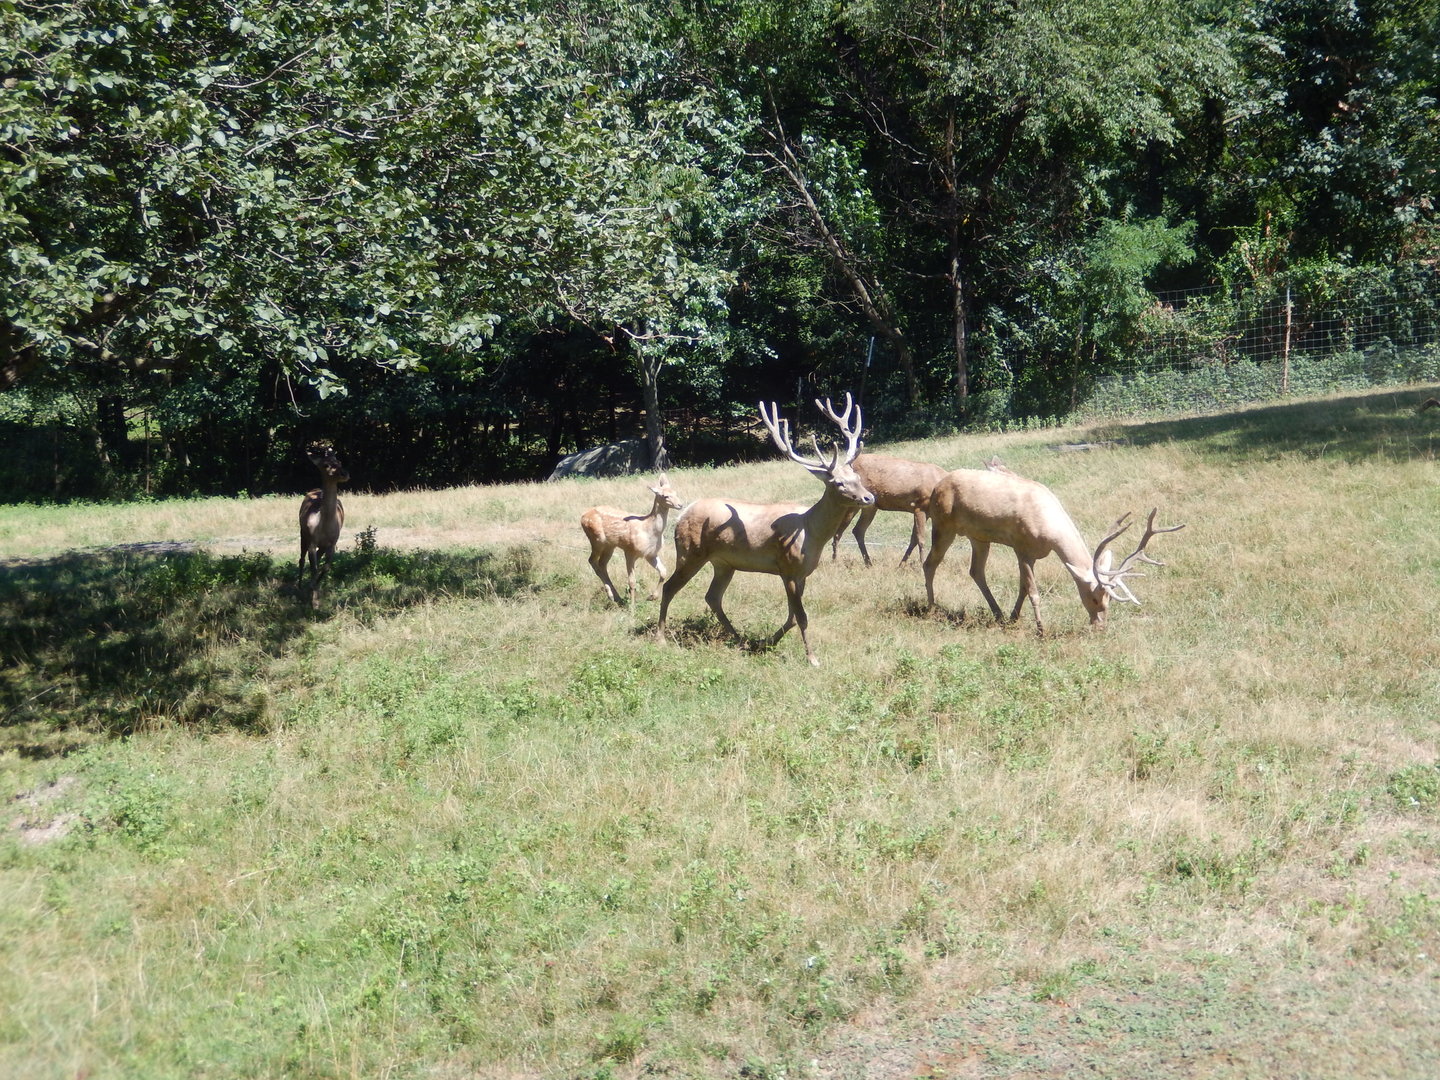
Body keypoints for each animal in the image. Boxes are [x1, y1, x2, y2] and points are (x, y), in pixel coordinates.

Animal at [298, 441, 349, 609]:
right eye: (326, 465)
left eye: (339, 461)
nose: (345, 473)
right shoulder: (312, 540)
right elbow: (314, 568)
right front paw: (313, 601)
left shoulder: (333, 542)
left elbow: (325, 567)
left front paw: (315, 593)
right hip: (303, 533)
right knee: (301, 559)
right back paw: (299, 587)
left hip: (321, 544)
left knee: (317, 559)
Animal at [580, 475, 685, 604]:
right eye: (665, 496)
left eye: (675, 492)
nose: (680, 505)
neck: (649, 530)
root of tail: (583, 516)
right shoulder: (629, 551)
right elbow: (632, 581)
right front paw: (632, 606)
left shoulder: (651, 554)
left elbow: (663, 571)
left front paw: (652, 596)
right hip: (596, 539)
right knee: (592, 560)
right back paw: (613, 596)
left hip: (610, 545)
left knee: (602, 564)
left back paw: (616, 597)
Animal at [655, 394, 875, 666]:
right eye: (838, 483)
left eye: (857, 476)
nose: (869, 497)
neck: (812, 533)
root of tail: (683, 513)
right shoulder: (787, 568)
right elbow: (801, 616)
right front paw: (812, 658)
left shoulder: (802, 574)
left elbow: (792, 617)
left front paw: (765, 642)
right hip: (689, 551)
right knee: (669, 587)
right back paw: (660, 638)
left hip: (724, 563)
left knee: (713, 597)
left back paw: (739, 639)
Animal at [922, 466, 1183, 634]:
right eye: (1094, 597)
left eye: (1109, 596)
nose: (1100, 626)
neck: (1048, 532)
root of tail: (936, 487)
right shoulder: (1021, 547)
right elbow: (1033, 591)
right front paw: (1041, 630)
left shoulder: (1035, 554)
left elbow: (1022, 587)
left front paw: (1014, 618)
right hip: (943, 523)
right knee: (929, 563)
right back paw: (931, 609)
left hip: (978, 536)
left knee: (976, 571)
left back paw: (997, 614)